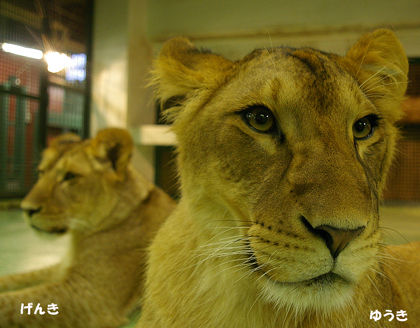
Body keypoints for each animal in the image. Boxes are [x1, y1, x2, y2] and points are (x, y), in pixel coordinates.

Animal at [0, 128, 176, 328]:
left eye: (70, 176)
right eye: (41, 172)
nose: (26, 209)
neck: (79, 235)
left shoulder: (90, 295)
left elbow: (11, 302)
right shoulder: (63, 268)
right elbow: (17, 277)